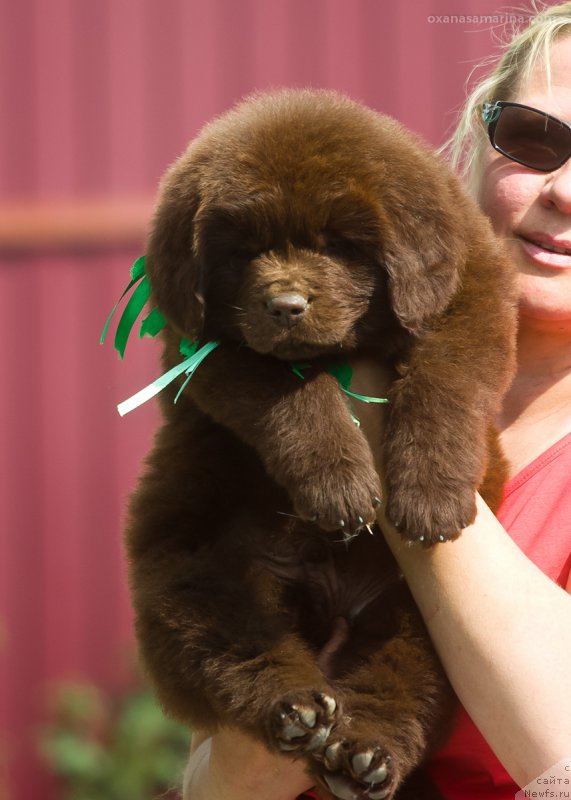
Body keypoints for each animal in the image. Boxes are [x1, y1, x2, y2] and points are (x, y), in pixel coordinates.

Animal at [126, 90, 520, 796]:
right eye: (244, 250)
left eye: (337, 245)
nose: (285, 305)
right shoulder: (213, 347)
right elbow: (296, 400)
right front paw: (341, 489)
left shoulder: (470, 295)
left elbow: (445, 382)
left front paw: (429, 498)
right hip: (195, 564)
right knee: (230, 648)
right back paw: (298, 711)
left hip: (420, 620)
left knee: (407, 681)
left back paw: (365, 756)